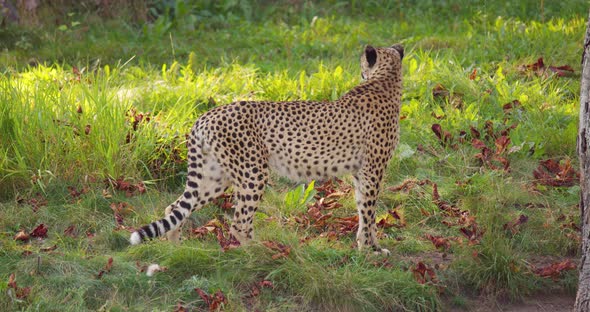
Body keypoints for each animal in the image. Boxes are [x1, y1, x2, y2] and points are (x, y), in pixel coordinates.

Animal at [131, 43, 404, 254]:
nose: (361, 72)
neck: (385, 81)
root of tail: (206, 115)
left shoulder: (361, 172)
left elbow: (363, 210)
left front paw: (366, 246)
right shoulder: (371, 171)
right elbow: (369, 211)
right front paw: (371, 250)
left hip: (216, 176)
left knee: (175, 208)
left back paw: (177, 250)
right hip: (252, 172)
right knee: (239, 223)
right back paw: (263, 252)